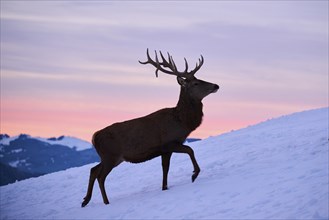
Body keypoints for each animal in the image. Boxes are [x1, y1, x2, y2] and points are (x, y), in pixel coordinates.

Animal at [80, 49, 218, 207]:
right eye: (195, 83)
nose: (216, 86)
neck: (181, 121)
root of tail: (94, 137)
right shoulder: (169, 143)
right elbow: (190, 150)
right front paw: (194, 174)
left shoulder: (165, 150)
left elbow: (165, 169)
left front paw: (165, 187)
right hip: (110, 156)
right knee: (101, 176)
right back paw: (106, 202)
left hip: (110, 157)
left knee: (93, 170)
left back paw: (85, 200)